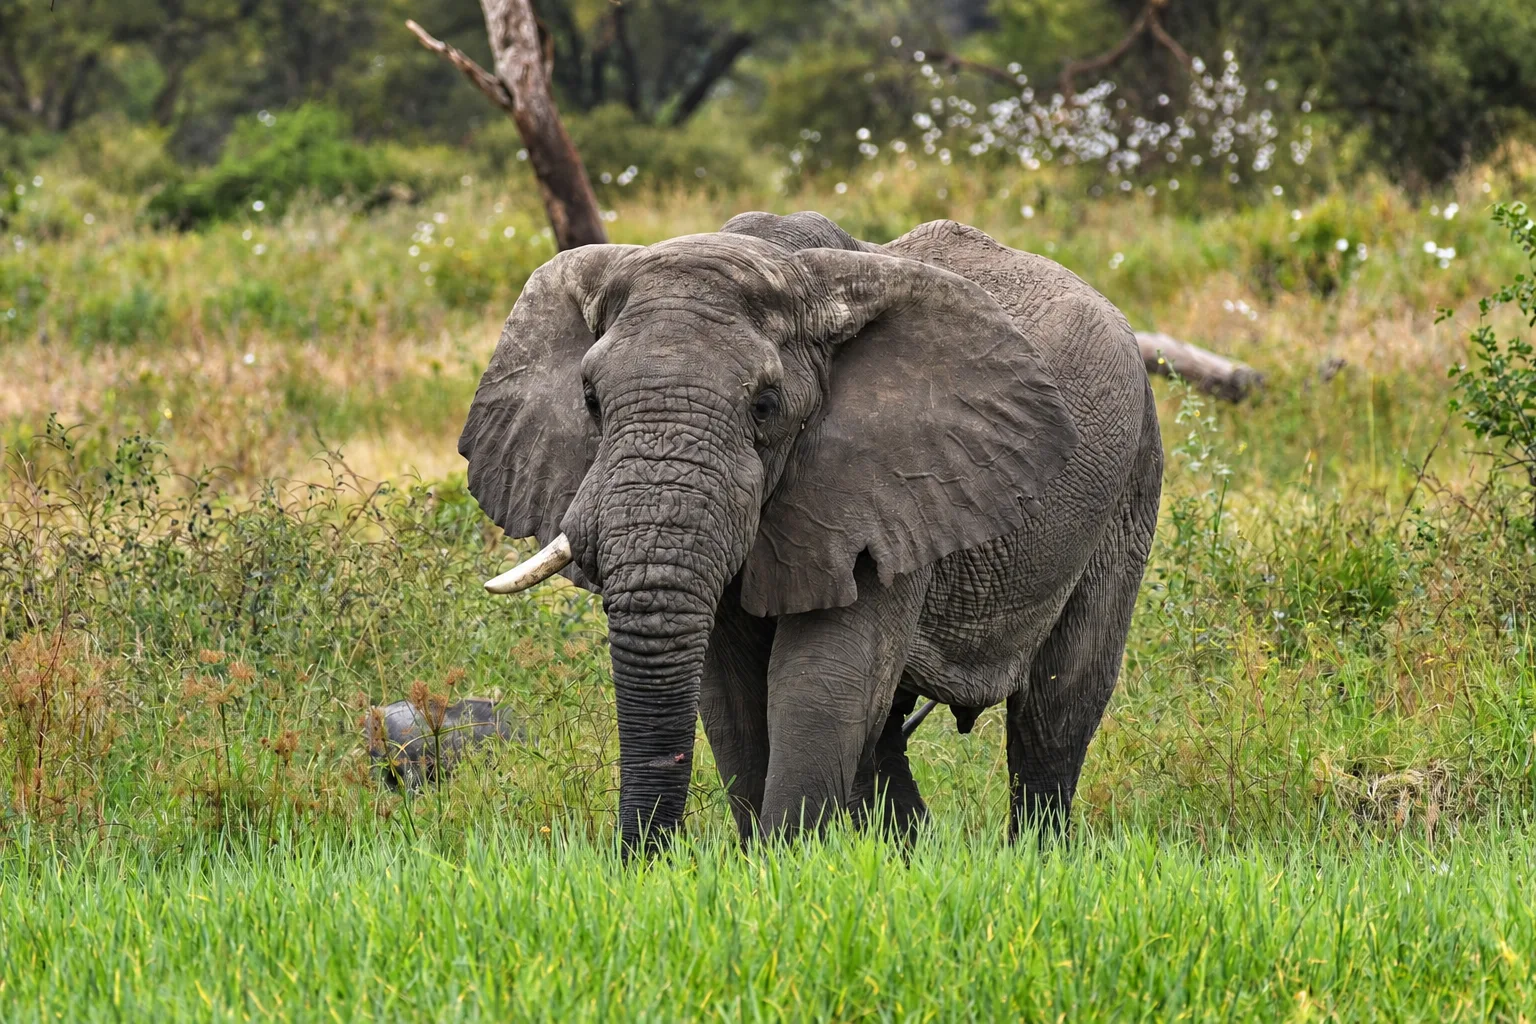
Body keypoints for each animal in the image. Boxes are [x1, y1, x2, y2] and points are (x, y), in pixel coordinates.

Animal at [458, 212, 1162, 851]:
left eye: (765, 407)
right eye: (590, 401)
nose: (641, 863)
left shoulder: (885, 484)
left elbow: (821, 683)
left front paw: (781, 867)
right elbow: (733, 698)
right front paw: (765, 866)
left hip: (1128, 484)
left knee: (1055, 708)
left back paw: (1037, 859)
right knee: (885, 731)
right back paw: (910, 856)